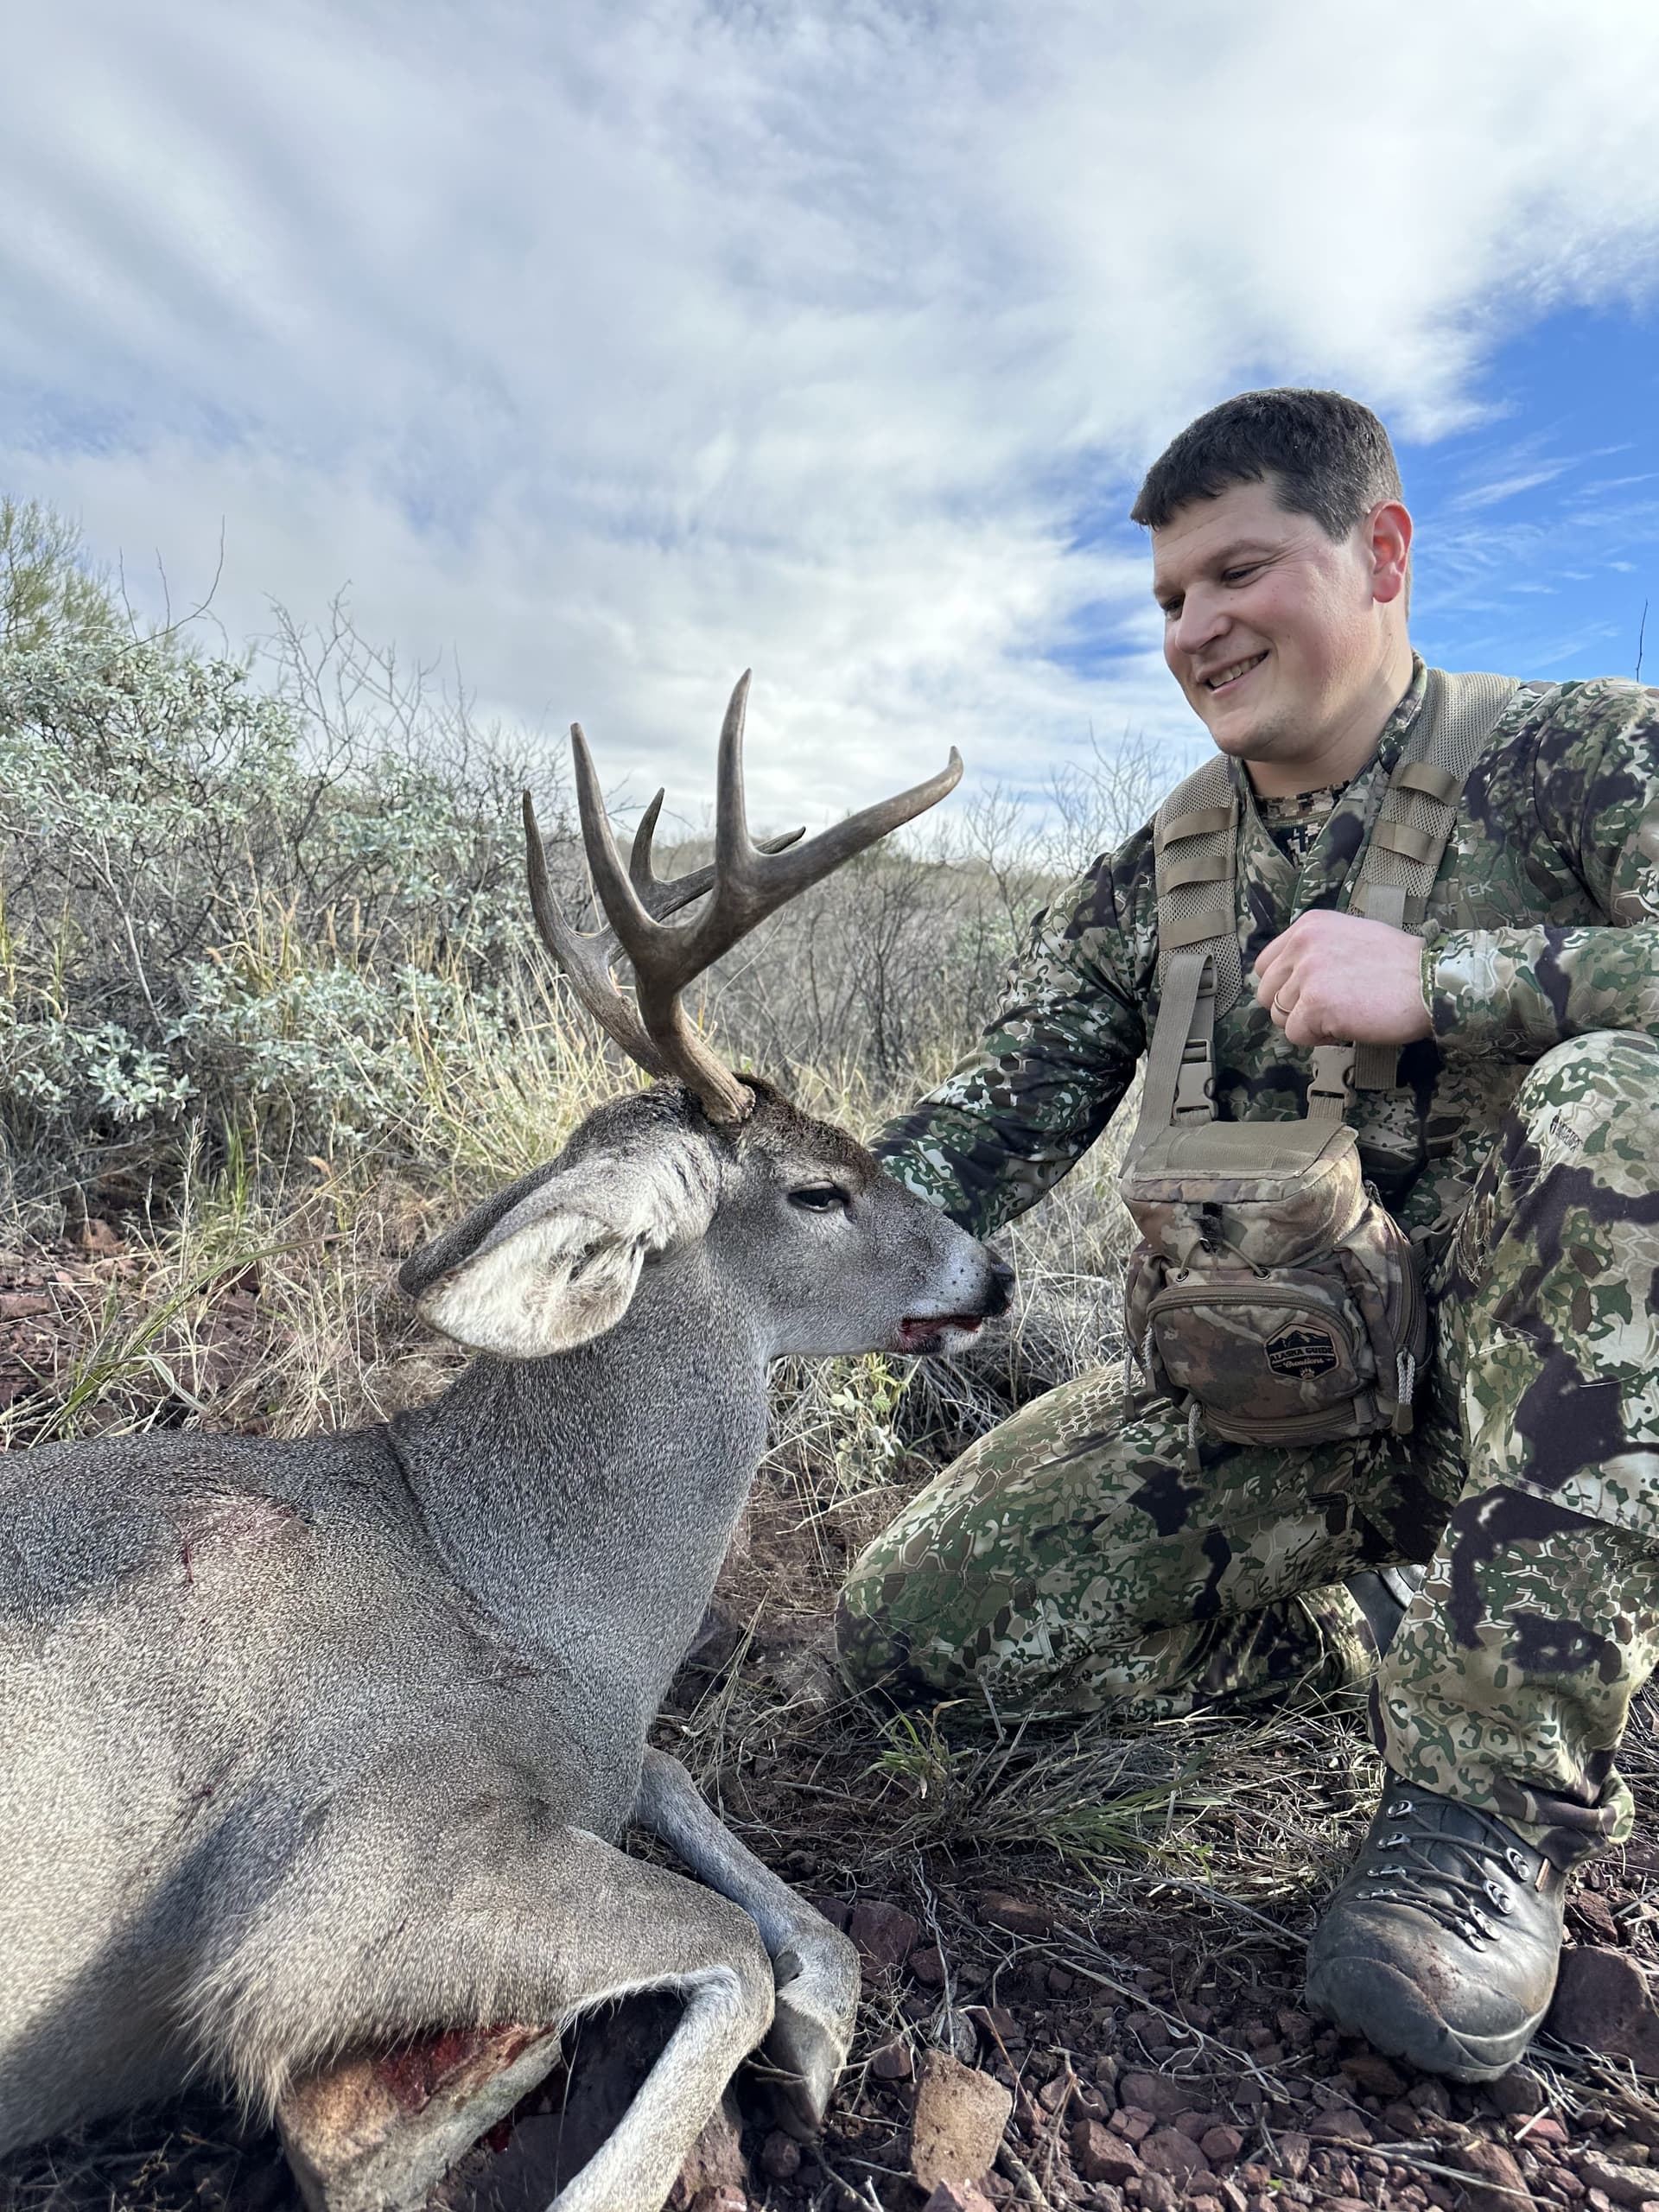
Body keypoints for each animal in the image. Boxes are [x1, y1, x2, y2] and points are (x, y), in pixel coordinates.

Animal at [0, 673, 1011, 2212]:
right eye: (818, 1191)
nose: (992, 1273)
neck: (521, 1583)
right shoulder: (336, 1885)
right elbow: (721, 1956)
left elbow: (698, 1812)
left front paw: (824, 2039)